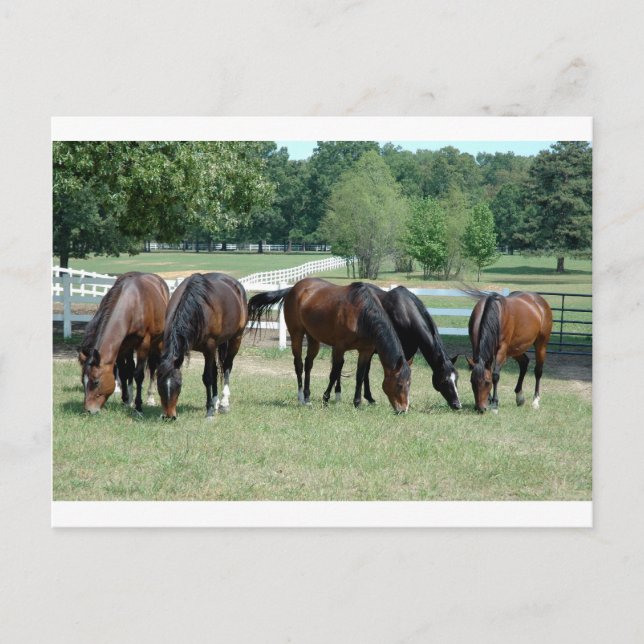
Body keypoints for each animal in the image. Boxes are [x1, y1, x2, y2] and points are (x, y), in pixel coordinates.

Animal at [79, 272, 169, 414]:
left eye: (96, 382)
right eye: (83, 381)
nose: (88, 410)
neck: (132, 304)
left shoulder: (144, 343)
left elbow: (139, 374)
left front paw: (138, 407)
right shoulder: (121, 346)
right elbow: (123, 372)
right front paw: (126, 400)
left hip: (157, 342)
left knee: (153, 366)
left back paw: (150, 398)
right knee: (130, 367)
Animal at [157, 273, 247, 419]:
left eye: (179, 384)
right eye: (159, 384)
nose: (169, 416)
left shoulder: (209, 347)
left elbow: (207, 378)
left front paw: (209, 411)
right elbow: (212, 375)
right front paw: (211, 406)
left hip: (236, 339)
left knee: (227, 367)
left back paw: (224, 403)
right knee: (216, 371)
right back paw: (216, 403)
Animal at [247, 278, 411, 413]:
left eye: (409, 384)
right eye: (399, 384)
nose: (403, 409)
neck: (361, 315)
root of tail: (293, 288)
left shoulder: (365, 351)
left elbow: (360, 376)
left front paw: (357, 403)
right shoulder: (339, 348)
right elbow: (333, 373)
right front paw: (325, 399)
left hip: (313, 338)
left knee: (308, 364)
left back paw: (307, 398)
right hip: (296, 334)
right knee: (299, 364)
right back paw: (301, 398)